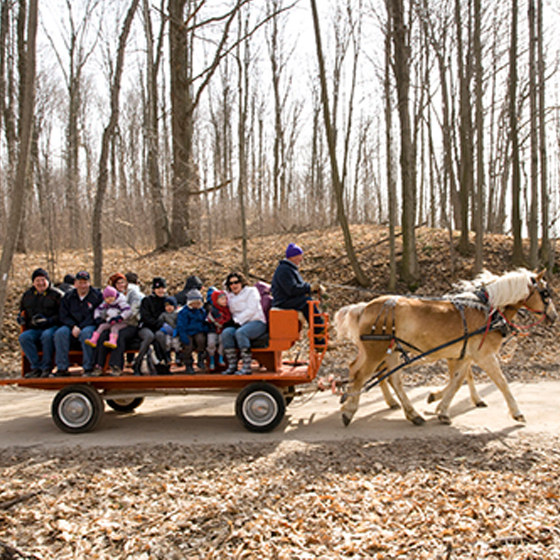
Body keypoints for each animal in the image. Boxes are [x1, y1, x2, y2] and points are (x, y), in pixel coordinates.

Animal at [334, 270, 556, 426]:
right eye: (545, 293)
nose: (554, 316)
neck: (487, 310)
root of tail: (365, 307)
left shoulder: (463, 355)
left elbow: (457, 381)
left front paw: (441, 406)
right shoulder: (484, 355)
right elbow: (501, 382)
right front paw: (517, 412)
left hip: (389, 352)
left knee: (385, 377)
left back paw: (412, 414)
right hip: (376, 351)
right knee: (362, 375)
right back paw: (349, 411)